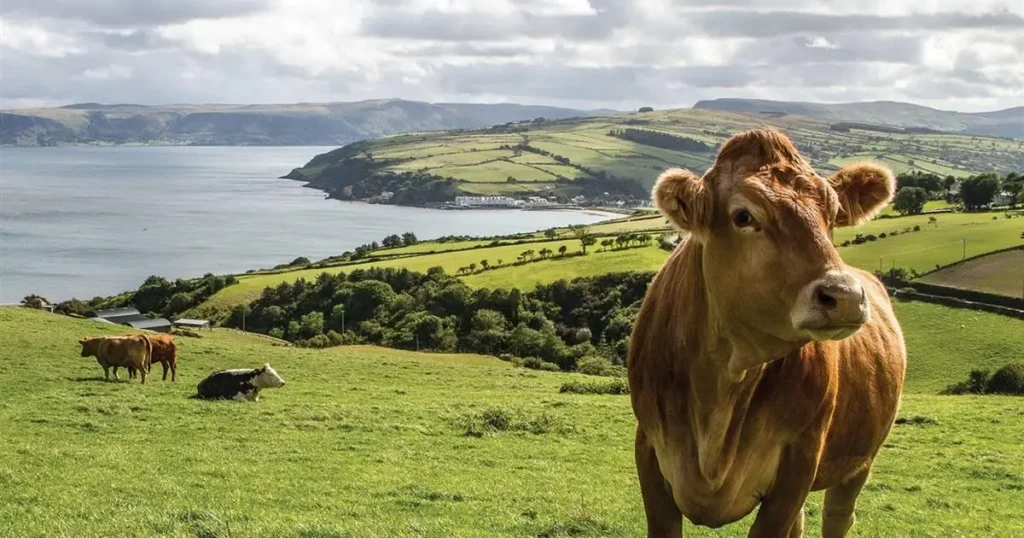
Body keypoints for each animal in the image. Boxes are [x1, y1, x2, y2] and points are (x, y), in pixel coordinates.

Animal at [628, 126, 906, 537]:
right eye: (743, 215)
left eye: (832, 215)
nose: (845, 296)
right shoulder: (648, 449)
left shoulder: (800, 459)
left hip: (860, 460)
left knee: (838, 515)